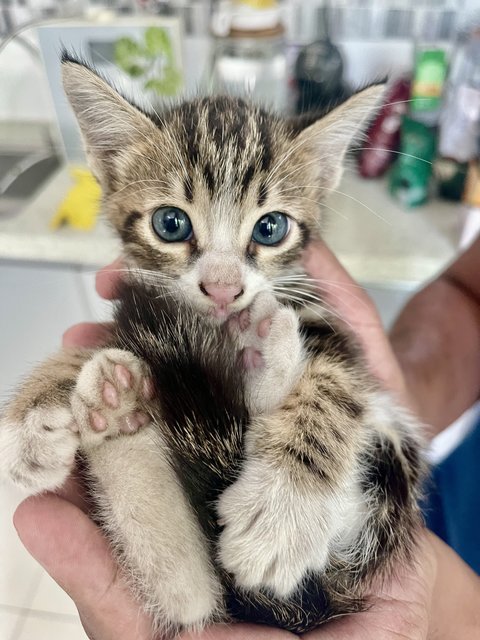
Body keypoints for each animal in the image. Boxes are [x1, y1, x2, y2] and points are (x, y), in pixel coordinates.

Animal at [0, 55, 424, 636]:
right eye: (170, 223)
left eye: (270, 228)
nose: (223, 289)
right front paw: (32, 414)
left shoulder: (331, 323)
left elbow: (334, 384)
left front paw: (282, 512)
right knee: (191, 602)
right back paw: (119, 413)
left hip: (389, 470)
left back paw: (264, 360)